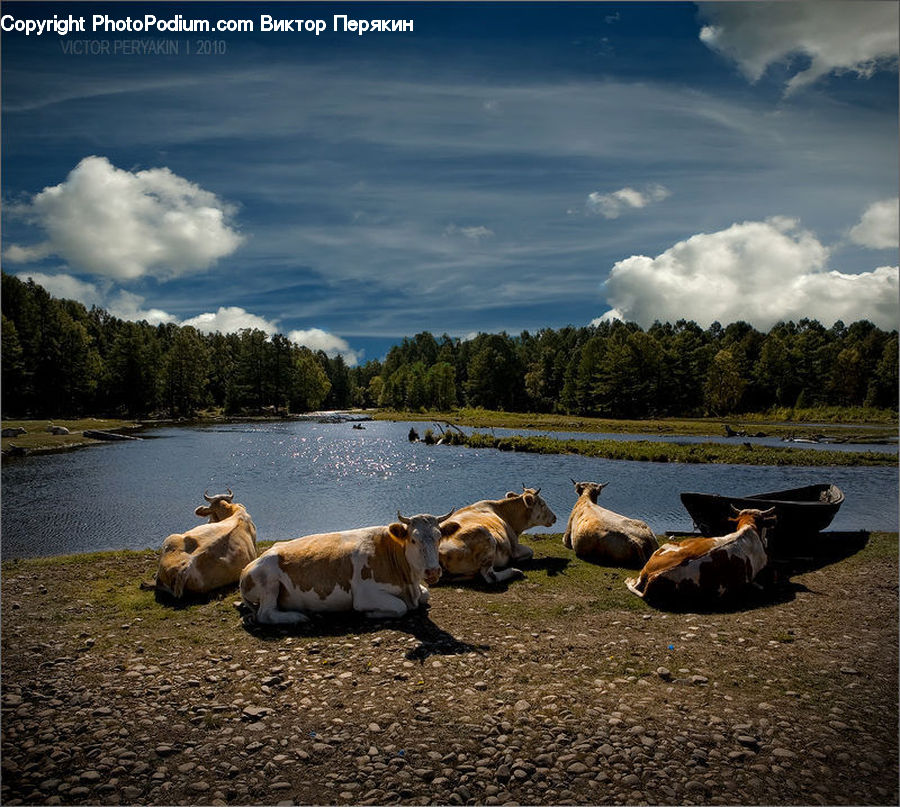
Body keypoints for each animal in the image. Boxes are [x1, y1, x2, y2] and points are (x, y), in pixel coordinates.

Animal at [239, 509, 456, 625]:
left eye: (439, 537)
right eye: (413, 540)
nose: (433, 571)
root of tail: (247, 568)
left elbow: (425, 595)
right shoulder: (364, 595)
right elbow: (400, 607)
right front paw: (371, 614)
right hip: (268, 580)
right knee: (265, 614)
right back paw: (297, 617)